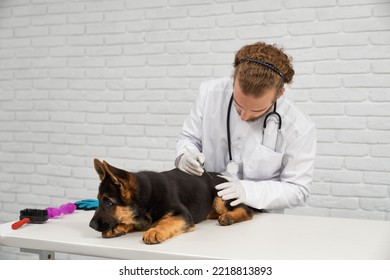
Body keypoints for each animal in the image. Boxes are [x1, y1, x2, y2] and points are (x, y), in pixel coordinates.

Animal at [89, 159, 253, 244]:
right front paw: (118, 228)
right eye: (98, 201)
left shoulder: (183, 215)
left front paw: (155, 231)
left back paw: (229, 216)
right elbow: (131, 221)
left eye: (109, 203)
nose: (91, 226)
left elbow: (167, 221)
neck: (146, 197)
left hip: (220, 197)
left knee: (247, 210)